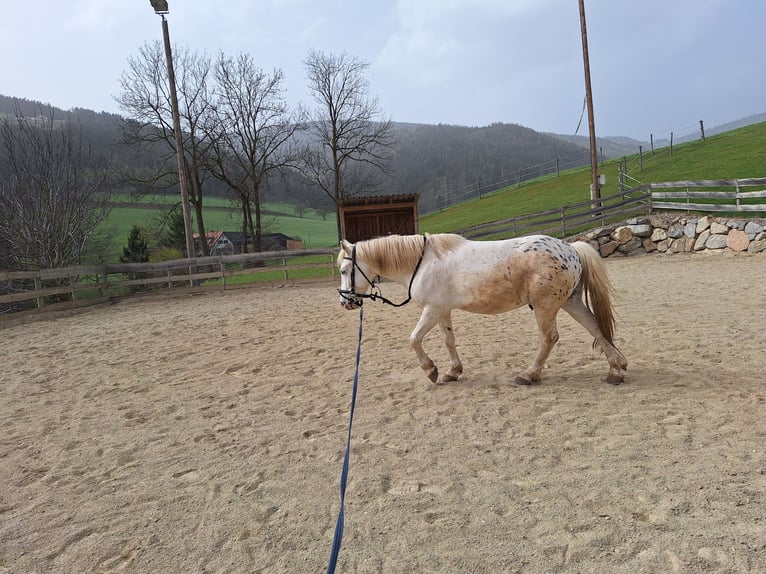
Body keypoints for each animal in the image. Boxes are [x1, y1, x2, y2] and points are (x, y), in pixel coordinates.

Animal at [340, 233, 628, 388]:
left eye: (344, 270)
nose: (346, 302)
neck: (422, 263)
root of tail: (570, 249)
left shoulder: (431, 310)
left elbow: (414, 339)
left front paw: (431, 370)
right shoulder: (442, 311)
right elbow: (449, 340)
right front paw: (452, 371)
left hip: (545, 307)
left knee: (550, 338)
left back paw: (528, 375)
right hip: (571, 302)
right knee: (594, 326)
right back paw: (615, 370)